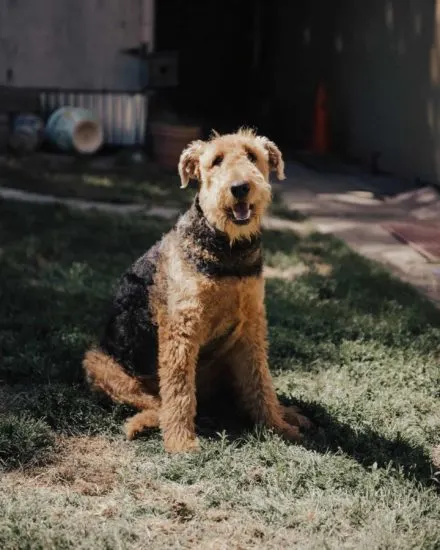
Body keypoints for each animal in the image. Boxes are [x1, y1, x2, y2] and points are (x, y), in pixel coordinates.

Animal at [83, 129, 312, 452]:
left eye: (252, 156)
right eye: (216, 161)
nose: (240, 188)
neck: (228, 249)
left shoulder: (251, 325)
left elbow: (261, 382)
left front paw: (278, 428)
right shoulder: (182, 328)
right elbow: (179, 392)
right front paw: (181, 443)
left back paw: (289, 414)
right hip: (101, 363)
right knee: (156, 403)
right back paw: (148, 423)